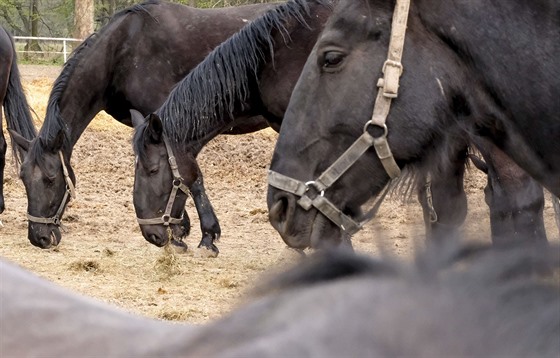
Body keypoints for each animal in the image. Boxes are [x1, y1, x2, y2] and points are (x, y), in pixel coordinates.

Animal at [8, 0, 276, 248]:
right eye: (23, 178)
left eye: (50, 179)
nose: (39, 237)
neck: (122, 52)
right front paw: (179, 227)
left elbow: (191, 177)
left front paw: (200, 234)